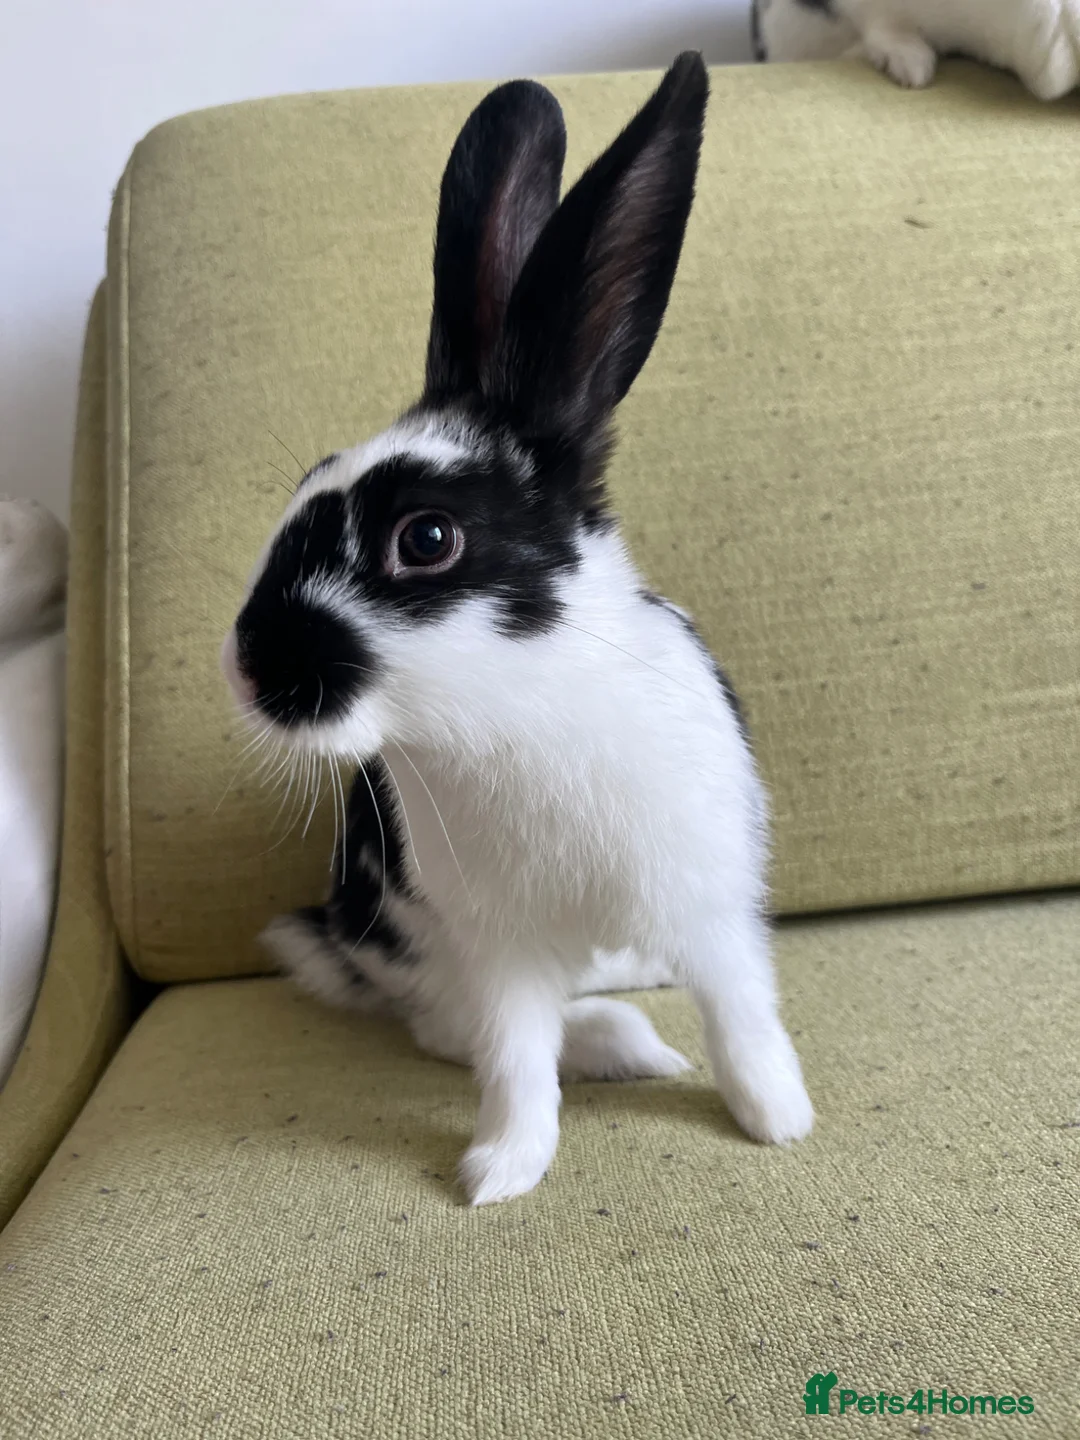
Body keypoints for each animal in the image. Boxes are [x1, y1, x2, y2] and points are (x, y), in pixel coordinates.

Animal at [221, 52, 813, 1206]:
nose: (248, 668)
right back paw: (625, 1044)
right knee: (444, 1029)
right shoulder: (498, 956)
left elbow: (742, 1018)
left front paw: (780, 1121)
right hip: (411, 943)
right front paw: (501, 1170)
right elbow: (512, 1064)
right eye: (306, 482)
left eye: (426, 538)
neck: (516, 710)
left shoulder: (711, 900)